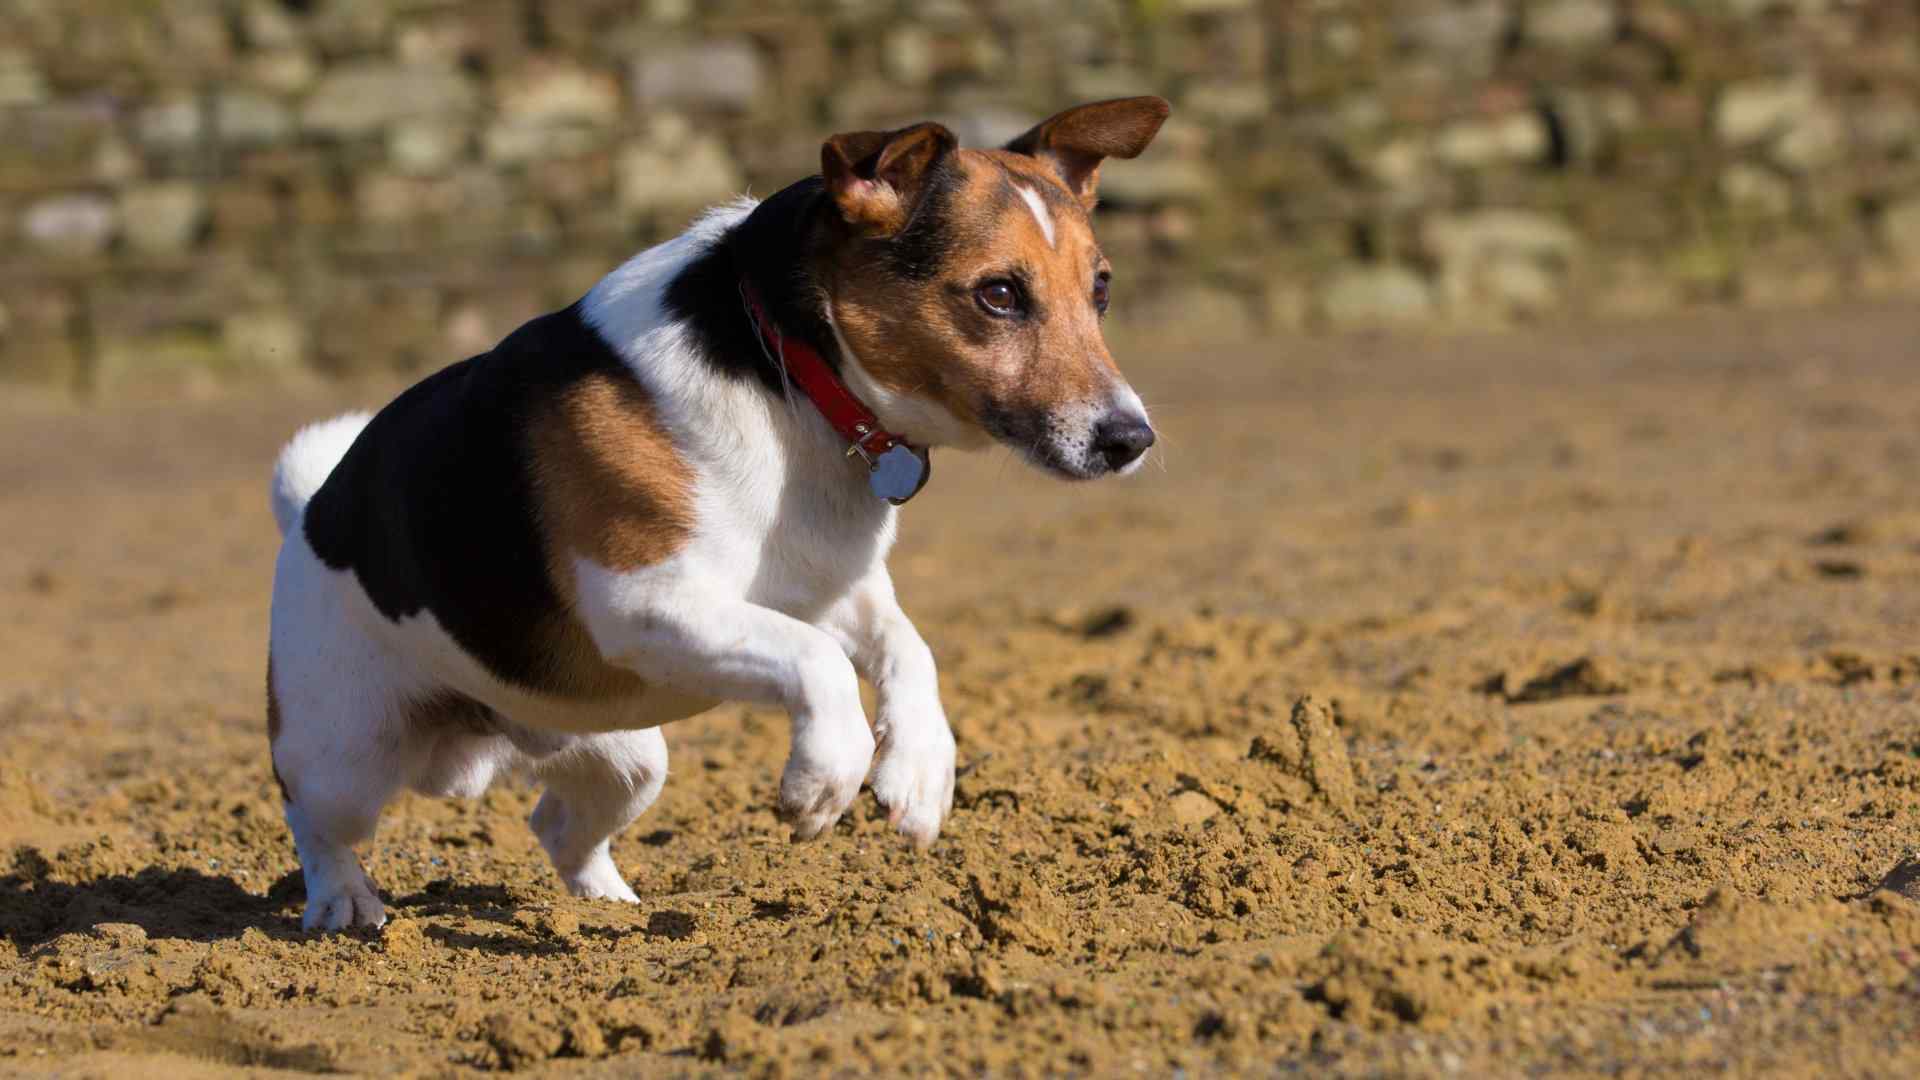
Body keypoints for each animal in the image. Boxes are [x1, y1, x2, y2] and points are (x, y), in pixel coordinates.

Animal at [266, 96, 1167, 930]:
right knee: (316, 822)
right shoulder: (646, 603)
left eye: (1102, 289)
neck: (790, 374)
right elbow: (818, 662)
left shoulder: (830, 587)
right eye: (1000, 294)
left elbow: (908, 648)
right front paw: (823, 779)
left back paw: (607, 909)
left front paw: (919, 772)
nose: (1132, 439)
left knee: (557, 825)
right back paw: (344, 903)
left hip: (625, 757)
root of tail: (311, 509)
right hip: (346, 752)